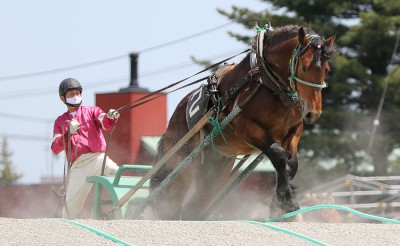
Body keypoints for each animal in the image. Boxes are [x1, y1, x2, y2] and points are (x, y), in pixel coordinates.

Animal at [149, 25, 334, 220]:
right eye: (305, 68)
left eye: (326, 70)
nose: (313, 113)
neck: (267, 83)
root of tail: (173, 120)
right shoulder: (246, 128)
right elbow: (277, 154)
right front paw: (288, 202)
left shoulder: (293, 130)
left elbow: (291, 164)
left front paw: (279, 203)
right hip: (181, 165)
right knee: (172, 203)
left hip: (216, 168)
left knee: (194, 207)